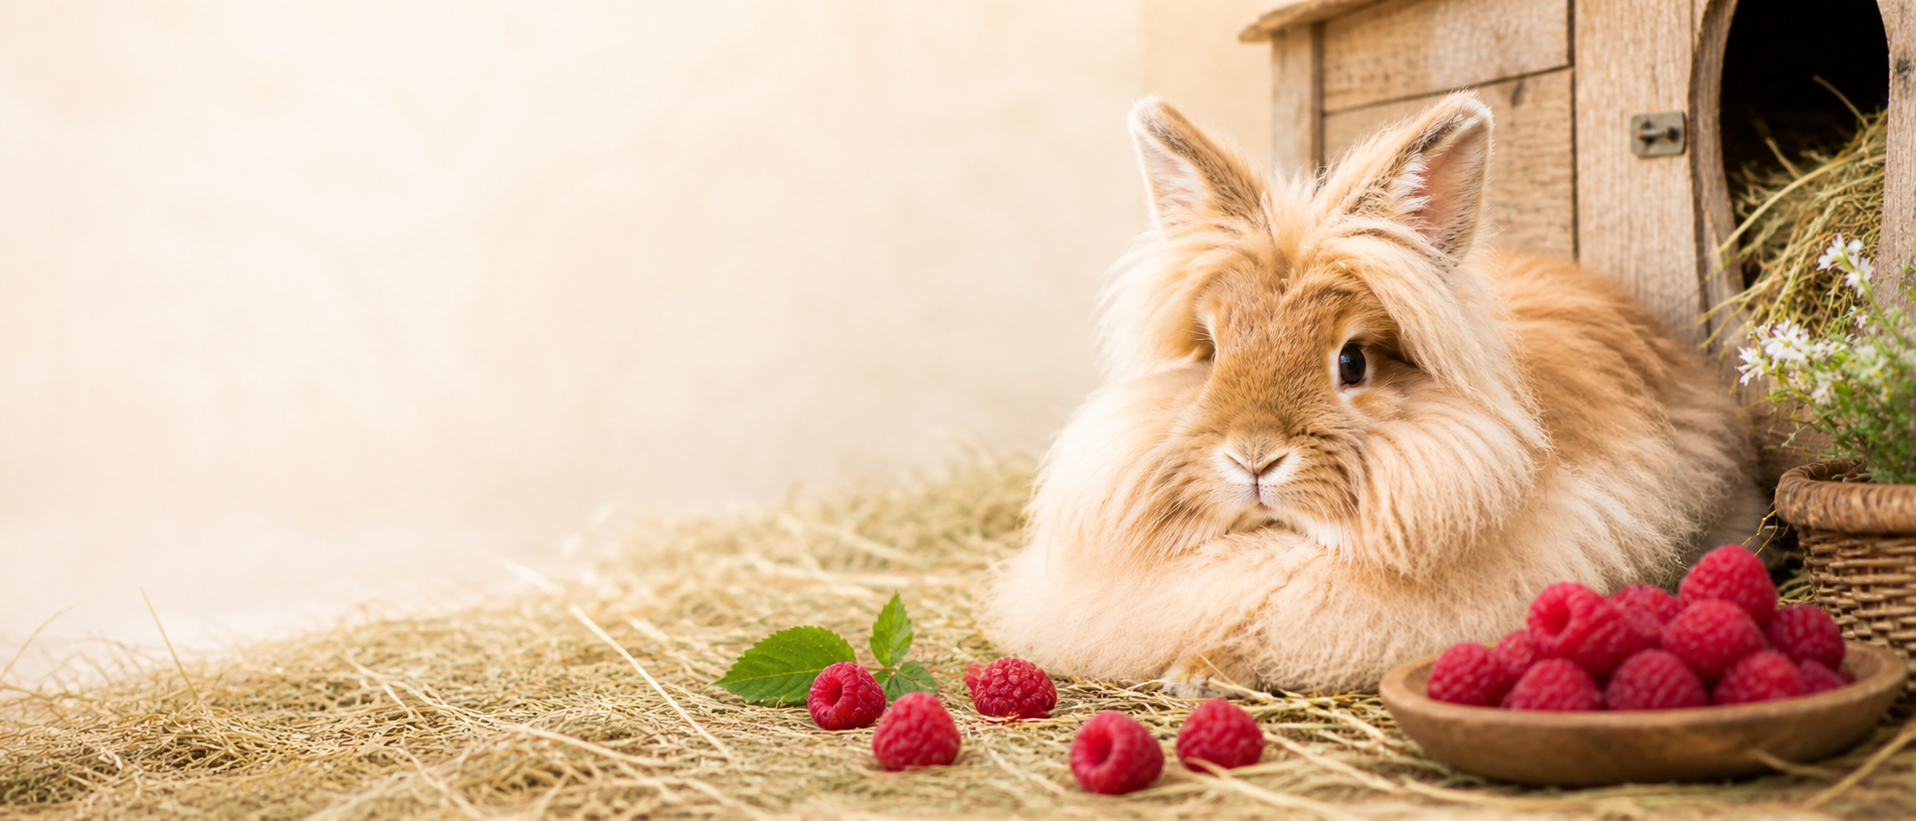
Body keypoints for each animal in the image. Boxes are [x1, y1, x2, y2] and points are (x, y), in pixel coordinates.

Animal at [983, 93, 1770, 695]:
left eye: (1353, 361)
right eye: (1209, 353)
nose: (1253, 458)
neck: (1282, 541)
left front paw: (1203, 673)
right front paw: (1194, 672)